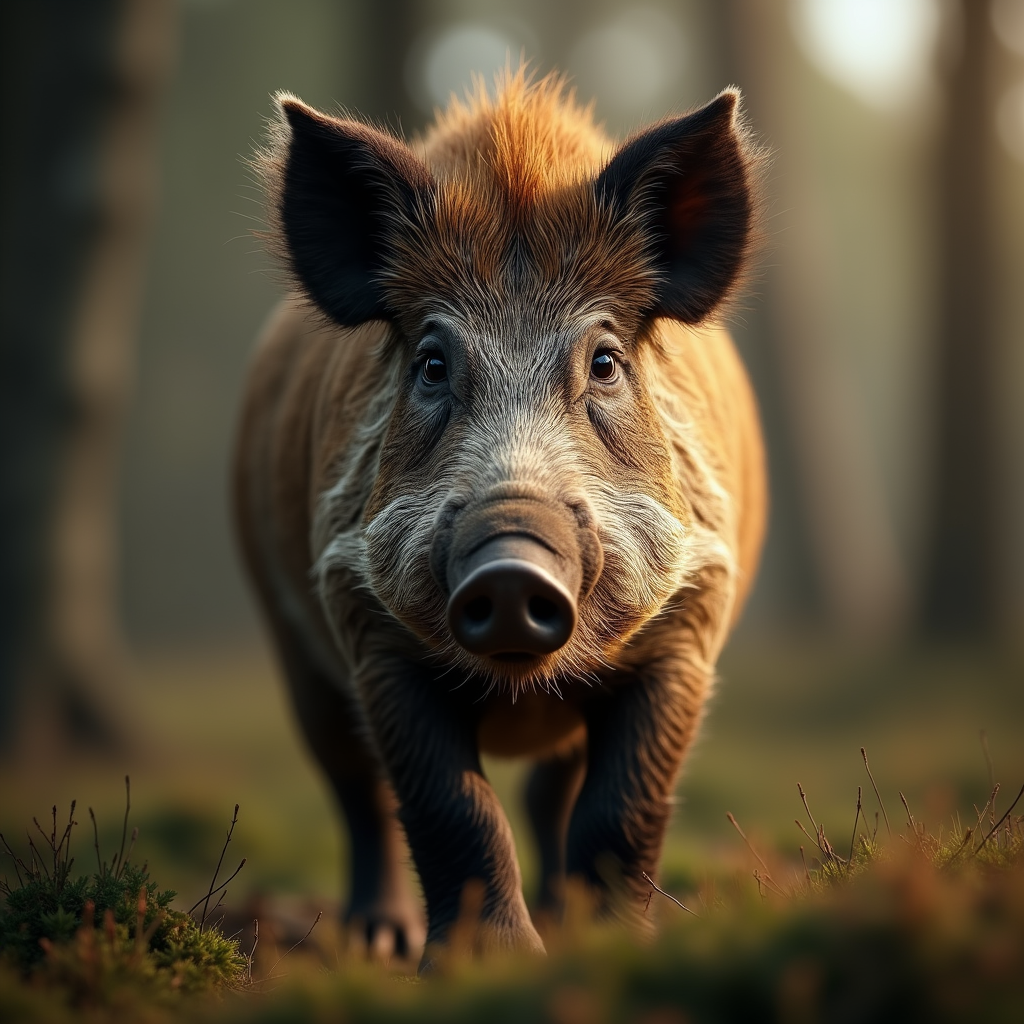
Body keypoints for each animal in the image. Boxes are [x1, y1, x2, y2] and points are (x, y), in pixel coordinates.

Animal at [233, 71, 766, 967]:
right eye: (432, 363)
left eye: (605, 362)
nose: (513, 563)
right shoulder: (364, 621)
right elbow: (450, 807)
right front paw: (484, 965)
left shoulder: (691, 619)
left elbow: (621, 807)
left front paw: (604, 953)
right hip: (288, 641)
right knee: (355, 789)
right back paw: (376, 942)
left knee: (554, 791)